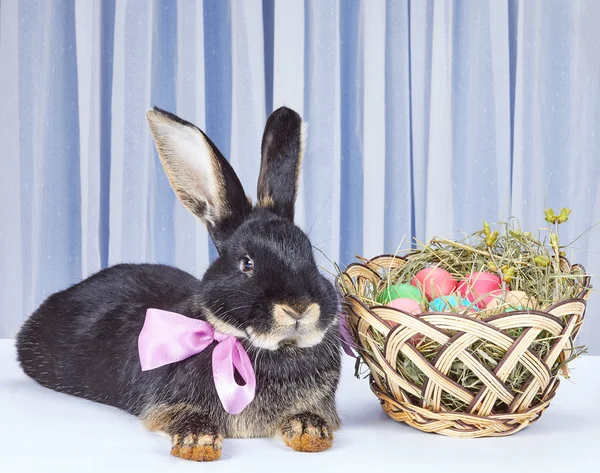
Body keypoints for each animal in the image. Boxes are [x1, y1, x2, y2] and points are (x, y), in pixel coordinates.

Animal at [15, 107, 342, 460]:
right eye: (246, 263)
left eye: (309, 253)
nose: (298, 308)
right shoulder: (165, 402)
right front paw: (198, 443)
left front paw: (311, 432)